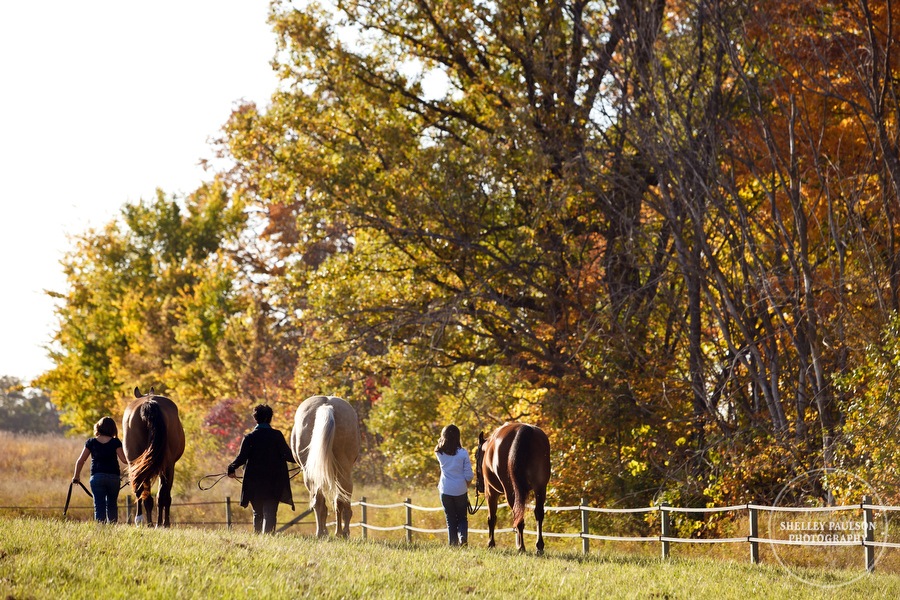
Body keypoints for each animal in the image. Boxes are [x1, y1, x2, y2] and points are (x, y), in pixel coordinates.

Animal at [122, 386, 185, 528]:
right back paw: (158, 523)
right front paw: (163, 523)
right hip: (164, 466)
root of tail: (149, 402)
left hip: (138, 464)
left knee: (142, 493)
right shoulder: (169, 467)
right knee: (159, 496)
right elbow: (164, 496)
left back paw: (144, 521)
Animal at [288, 396, 358, 536]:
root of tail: (326, 405)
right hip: (343, 471)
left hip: (311, 474)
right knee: (342, 501)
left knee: (319, 503)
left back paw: (321, 533)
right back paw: (343, 533)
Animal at [478, 422, 548, 552]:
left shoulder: (490, 492)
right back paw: (539, 546)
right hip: (540, 488)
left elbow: (491, 518)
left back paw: (521, 547)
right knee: (538, 513)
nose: (479, 486)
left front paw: (491, 543)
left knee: (517, 514)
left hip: (510, 490)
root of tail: (525, 429)